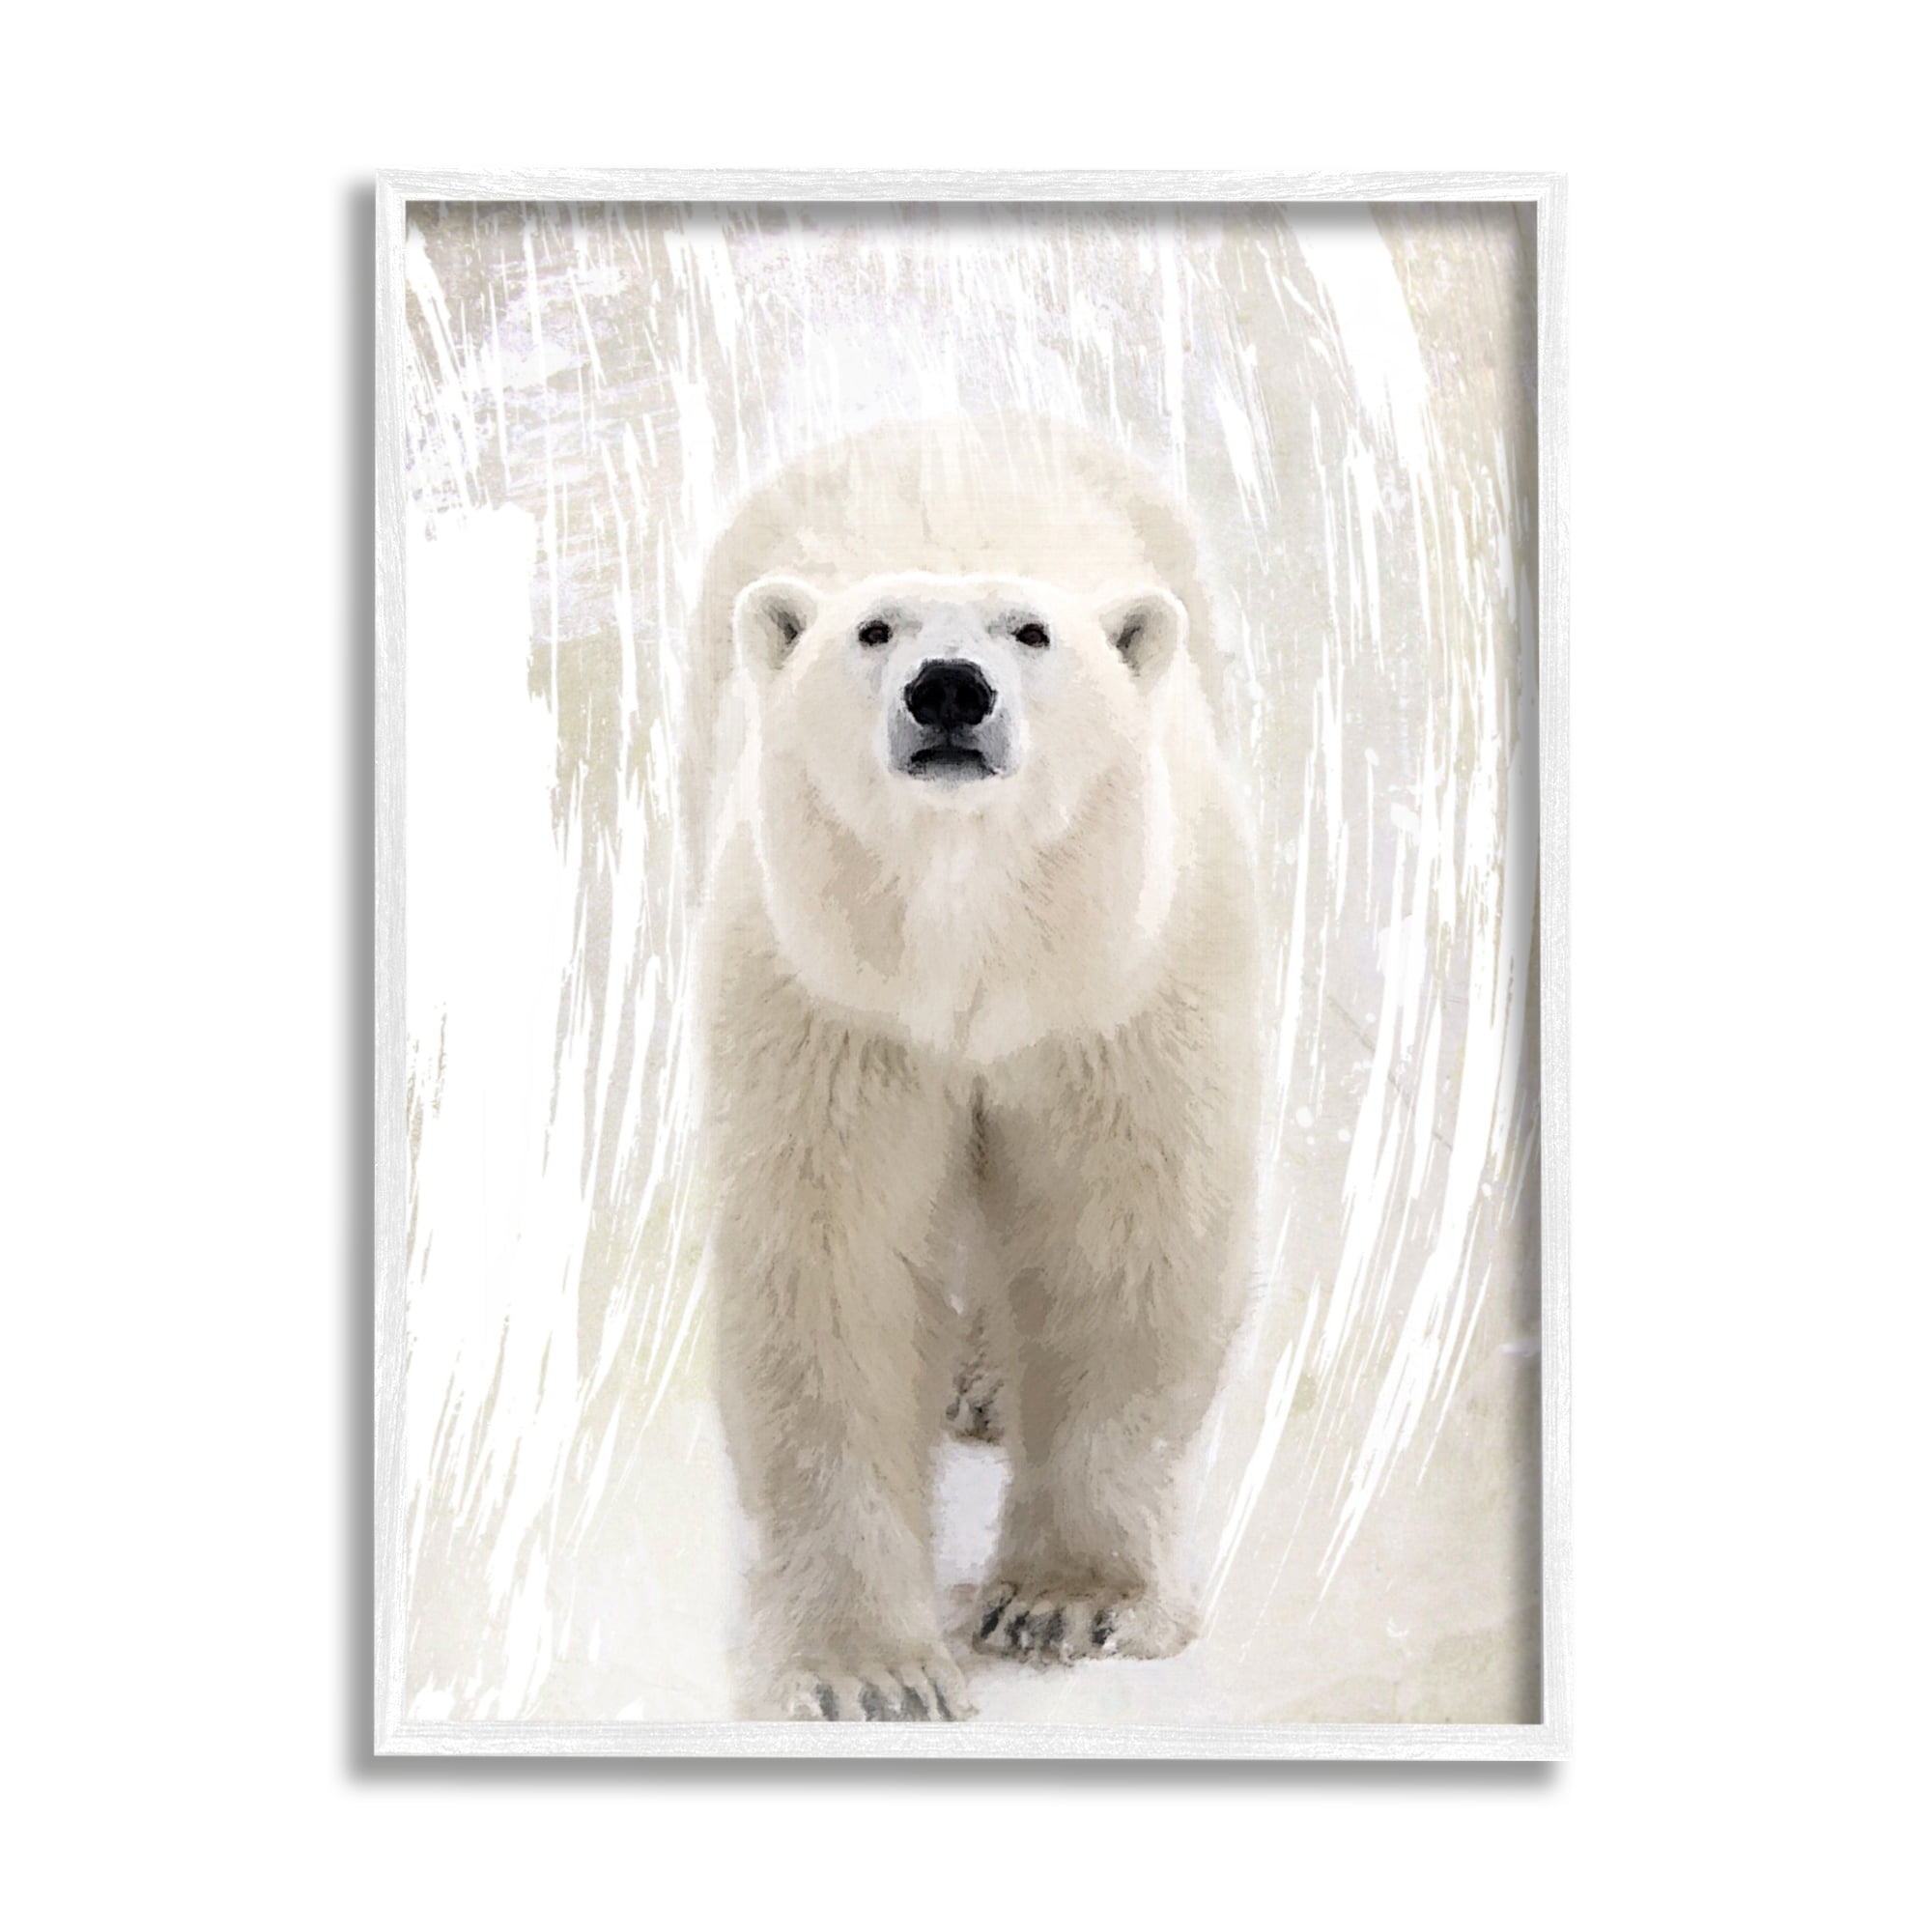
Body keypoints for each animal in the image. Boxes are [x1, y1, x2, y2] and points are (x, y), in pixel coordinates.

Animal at [689, 418, 1260, 1721]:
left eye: (1031, 631)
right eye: (873, 628)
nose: (947, 687)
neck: (974, 944)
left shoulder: (1116, 994)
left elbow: (1117, 1234)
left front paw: (1066, 1602)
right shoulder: (832, 1007)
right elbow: (833, 1264)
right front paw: (868, 1670)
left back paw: (991, 1383)